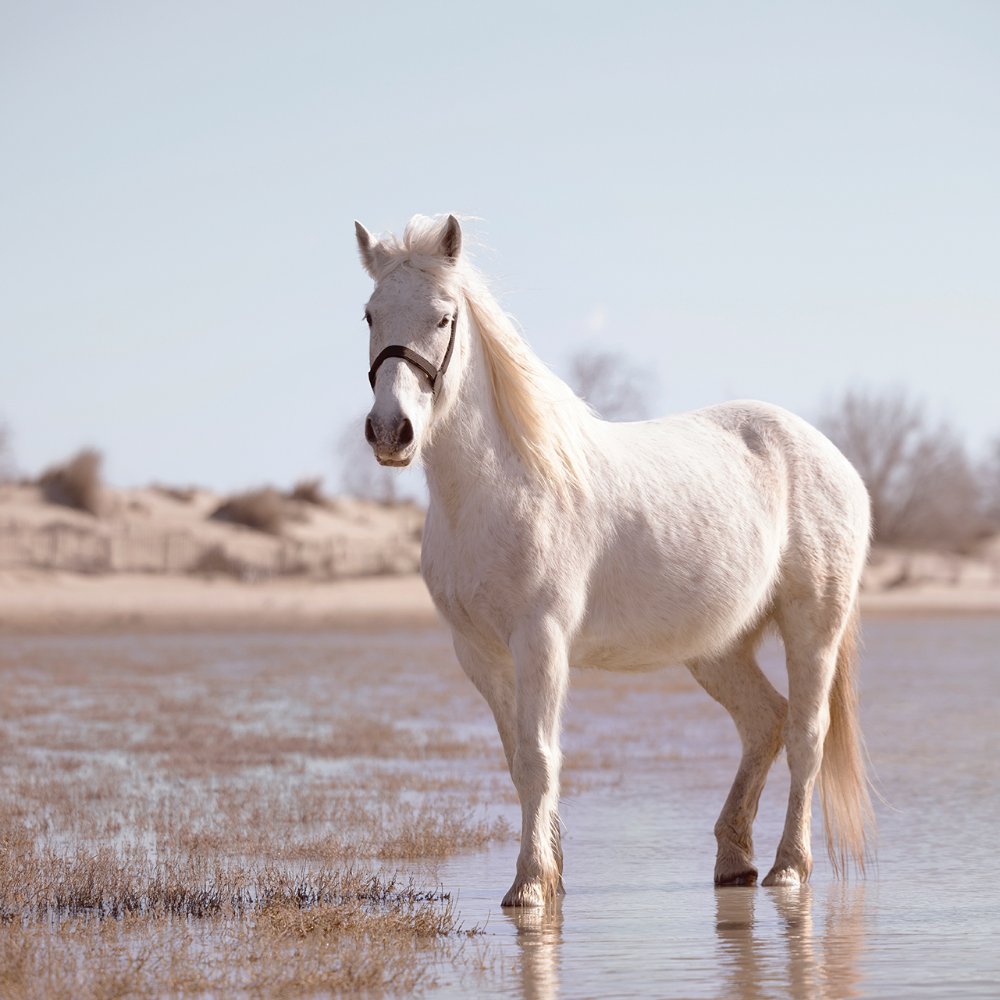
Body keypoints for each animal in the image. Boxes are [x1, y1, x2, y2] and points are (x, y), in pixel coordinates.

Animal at [356, 211, 872, 908]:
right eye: (370, 314)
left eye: (443, 317)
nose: (391, 431)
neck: (501, 486)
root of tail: (834, 459)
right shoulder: (479, 653)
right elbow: (517, 758)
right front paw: (551, 871)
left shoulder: (541, 641)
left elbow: (539, 758)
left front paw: (530, 885)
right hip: (718, 649)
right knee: (764, 722)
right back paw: (733, 860)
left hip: (811, 627)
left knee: (806, 736)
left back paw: (789, 867)